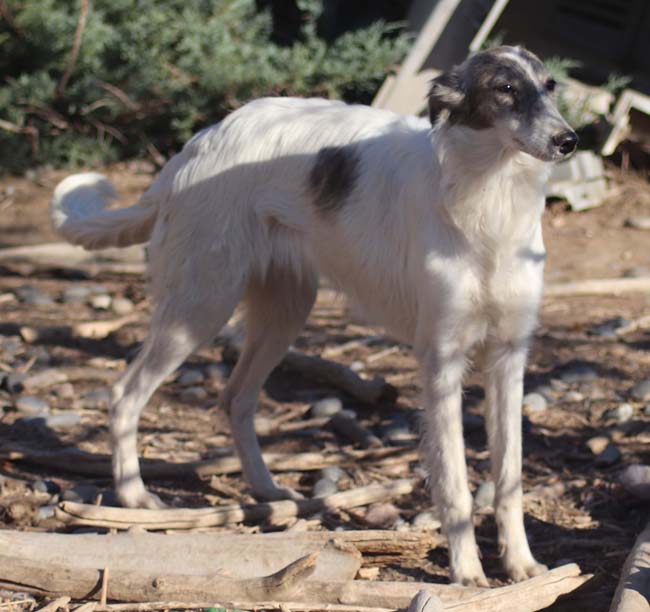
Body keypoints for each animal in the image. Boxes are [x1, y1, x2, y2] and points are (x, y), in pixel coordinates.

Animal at [51, 46, 576, 586]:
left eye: (550, 86)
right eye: (504, 89)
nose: (569, 141)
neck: (490, 199)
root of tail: (197, 145)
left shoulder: (508, 359)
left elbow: (510, 478)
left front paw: (522, 565)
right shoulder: (442, 361)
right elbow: (454, 482)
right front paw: (467, 573)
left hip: (283, 313)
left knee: (234, 398)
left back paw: (266, 491)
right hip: (200, 307)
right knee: (125, 394)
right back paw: (133, 496)